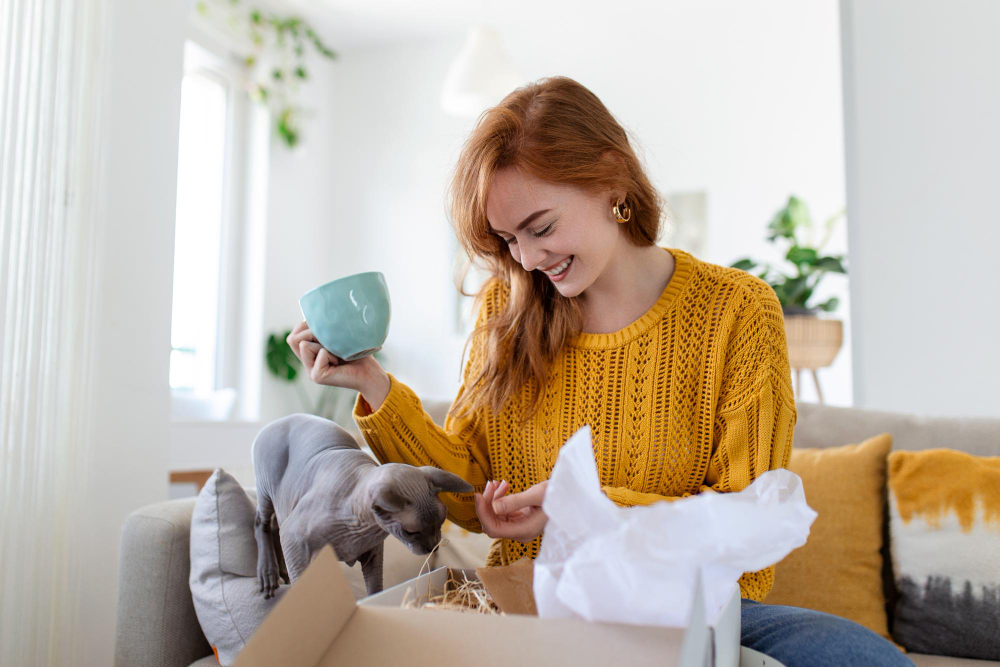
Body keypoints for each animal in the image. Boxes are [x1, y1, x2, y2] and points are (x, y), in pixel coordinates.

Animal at [248, 412, 470, 600]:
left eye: (441, 522)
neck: (362, 528)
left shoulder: (374, 556)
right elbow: (301, 584)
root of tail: (279, 419)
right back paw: (268, 573)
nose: (433, 546)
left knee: (275, 525)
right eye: (410, 532)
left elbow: (375, 590)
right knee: (261, 522)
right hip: (267, 487)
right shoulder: (293, 541)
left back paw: (280, 571)